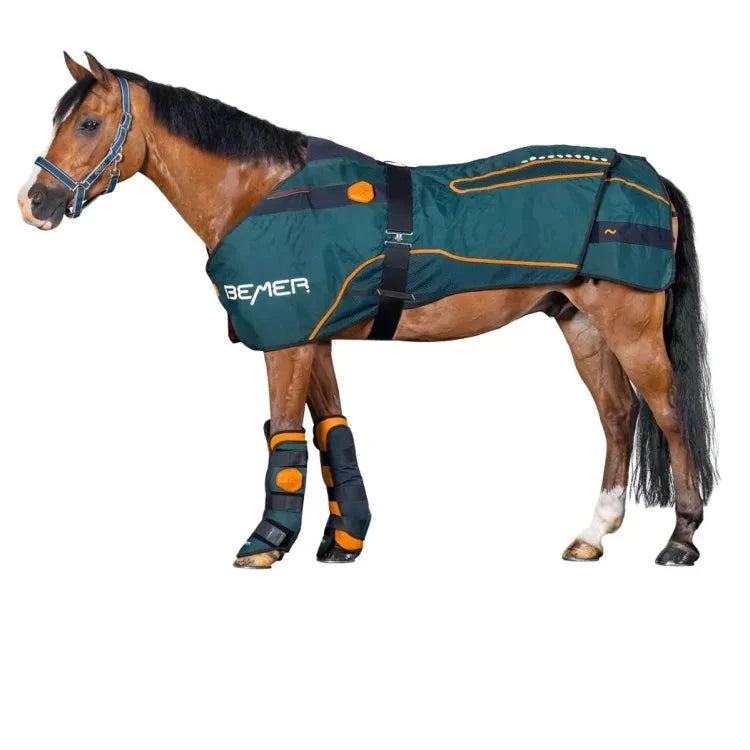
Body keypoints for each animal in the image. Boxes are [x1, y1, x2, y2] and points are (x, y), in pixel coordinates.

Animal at [18, 52, 717, 569]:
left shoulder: (287, 342)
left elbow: (284, 437)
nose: (34, 202)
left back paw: (681, 539)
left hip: (631, 330)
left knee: (668, 414)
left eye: (88, 124)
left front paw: (265, 543)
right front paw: (343, 540)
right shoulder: (316, 339)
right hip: (581, 326)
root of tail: (649, 176)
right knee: (618, 415)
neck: (262, 194)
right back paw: (592, 535)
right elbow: (332, 434)